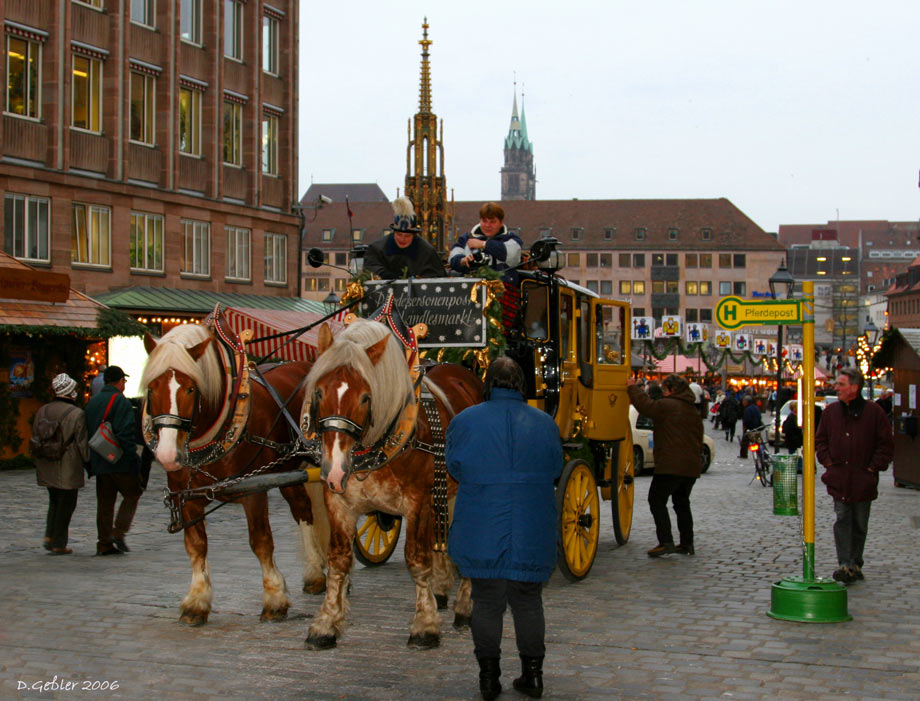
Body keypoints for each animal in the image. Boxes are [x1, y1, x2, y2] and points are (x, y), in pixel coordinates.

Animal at [140, 322, 328, 624]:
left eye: (191, 389)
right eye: (152, 387)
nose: (167, 455)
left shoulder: (253, 490)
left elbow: (261, 541)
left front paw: (275, 599)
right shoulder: (187, 496)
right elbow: (196, 545)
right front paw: (196, 600)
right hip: (287, 470)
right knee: (303, 510)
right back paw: (314, 574)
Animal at [302, 320, 488, 648]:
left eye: (365, 397)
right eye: (320, 392)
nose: (334, 470)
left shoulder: (417, 503)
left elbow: (416, 559)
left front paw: (425, 625)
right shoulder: (337, 502)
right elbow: (338, 560)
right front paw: (325, 623)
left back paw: (464, 607)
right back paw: (442, 590)